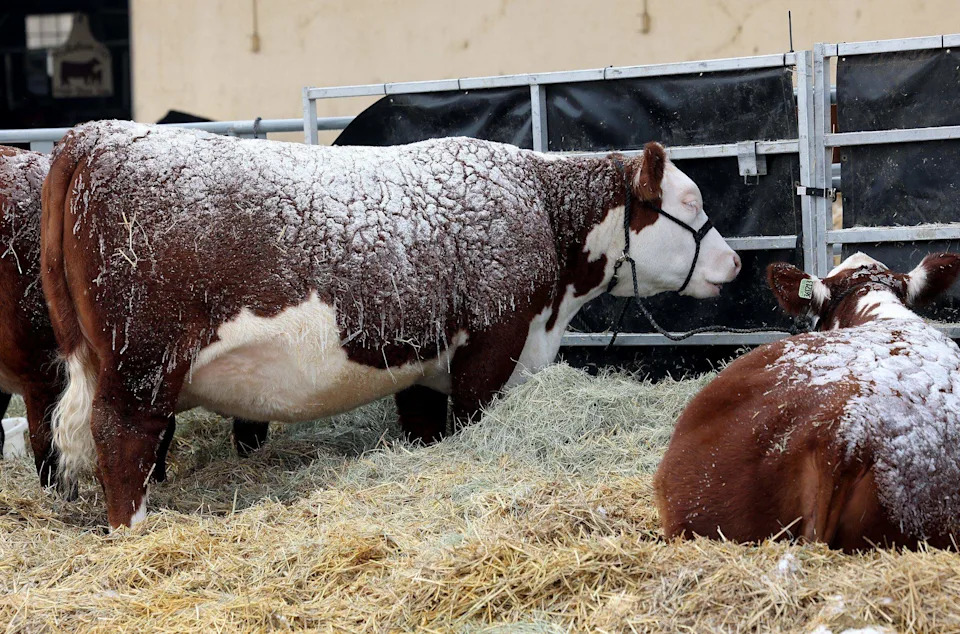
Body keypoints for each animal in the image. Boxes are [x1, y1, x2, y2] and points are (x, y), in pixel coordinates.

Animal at [42, 120, 741, 527]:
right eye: (691, 201)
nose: (734, 262)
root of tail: (96, 134)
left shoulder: (427, 363)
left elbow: (427, 427)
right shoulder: (492, 343)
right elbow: (471, 418)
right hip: (140, 363)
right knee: (123, 440)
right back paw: (133, 528)